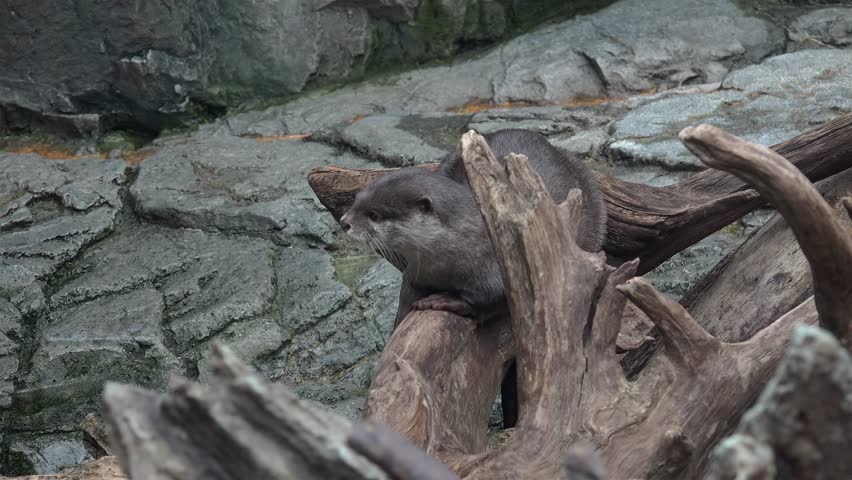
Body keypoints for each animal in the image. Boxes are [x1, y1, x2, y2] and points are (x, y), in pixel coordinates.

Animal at [339, 129, 607, 327]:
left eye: (374, 214)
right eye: (357, 199)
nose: (344, 222)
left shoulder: (503, 268)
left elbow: (491, 298)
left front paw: (446, 300)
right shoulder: (417, 270)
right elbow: (406, 293)